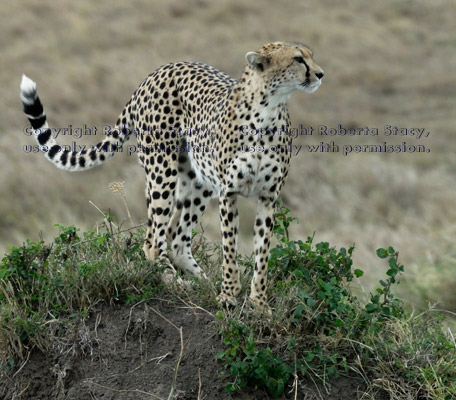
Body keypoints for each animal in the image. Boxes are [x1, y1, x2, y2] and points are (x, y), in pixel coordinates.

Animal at [20, 41, 324, 310]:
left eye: (311, 55)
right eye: (299, 59)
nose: (320, 73)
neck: (268, 111)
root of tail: (156, 72)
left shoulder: (268, 197)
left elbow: (262, 254)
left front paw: (259, 303)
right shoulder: (229, 193)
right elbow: (230, 247)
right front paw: (228, 295)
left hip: (199, 179)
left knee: (177, 237)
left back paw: (202, 281)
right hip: (161, 171)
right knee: (153, 240)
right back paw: (177, 282)